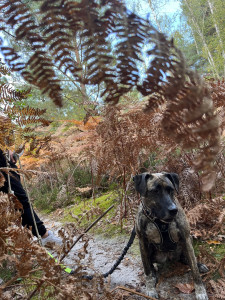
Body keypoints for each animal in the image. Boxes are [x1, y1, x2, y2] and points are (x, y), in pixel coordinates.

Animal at [134, 172, 209, 300]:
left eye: (171, 190)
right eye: (155, 191)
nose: (174, 210)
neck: (160, 221)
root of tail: (168, 258)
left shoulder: (186, 238)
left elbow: (194, 271)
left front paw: (200, 291)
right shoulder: (142, 242)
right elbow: (147, 270)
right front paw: (150, 288)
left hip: (187, 243)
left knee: (187, 259)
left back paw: (199, 265)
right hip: (149, 250)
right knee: (150, 265)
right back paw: (154, 275)